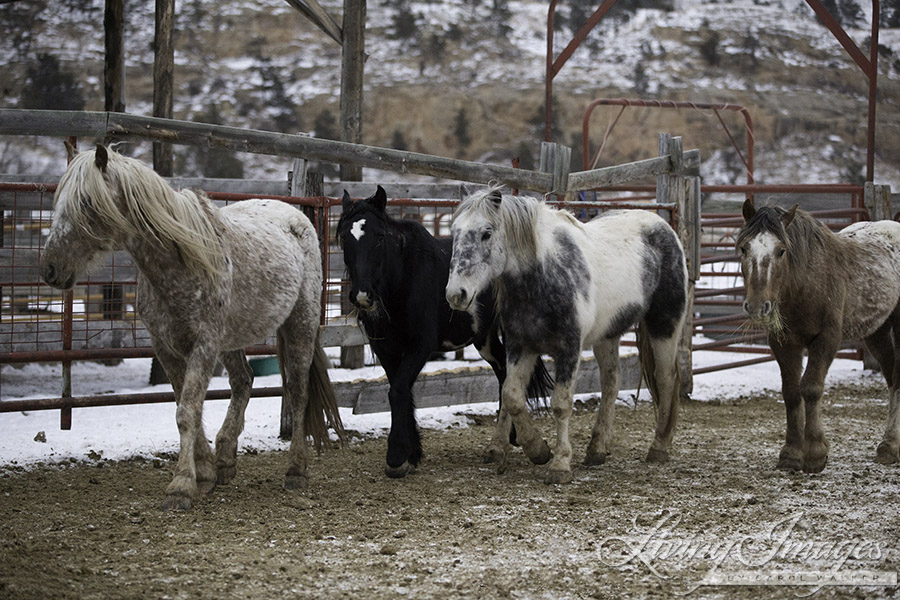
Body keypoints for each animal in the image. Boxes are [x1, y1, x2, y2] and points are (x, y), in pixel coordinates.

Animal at [38, 143, 342, 508]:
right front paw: (206, 471)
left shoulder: (204, 345)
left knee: (297, 392)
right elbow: (185, 408)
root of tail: (298, 218)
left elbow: (188, 411)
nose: (50, 269)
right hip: (233, 339)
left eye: (85, 202)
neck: (179, 262)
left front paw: (181, 485)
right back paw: (225, 458)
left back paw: (296, 470)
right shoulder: (166, 348)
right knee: (244, 381)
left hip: (300, 325)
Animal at [336, 188, 548, 478]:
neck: (404, 279)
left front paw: (397, 455)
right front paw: (412, 453)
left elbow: (398, 390)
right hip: (484, 338)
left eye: (379, 237)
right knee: (502, 371)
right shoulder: (386, 348)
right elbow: (400, 390)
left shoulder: (420, 346)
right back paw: (510, 438)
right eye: (344, 237)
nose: (361, 295)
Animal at [444, 190, 688, 486]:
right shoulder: (520, 346)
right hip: (607, 336)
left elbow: (560, 404)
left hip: (664, 326)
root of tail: (663, 226)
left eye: (486, 233)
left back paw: (659, 447)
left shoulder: (568, 349)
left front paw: (560, 464)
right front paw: (537, 449)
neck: (543, 277)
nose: (456, 294)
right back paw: (597, 449)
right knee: (611, 383)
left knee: (665, 380)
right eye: (455, 232)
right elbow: (512, 396)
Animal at [736, 202, 900, 474]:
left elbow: (811, 388)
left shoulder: (826, 339)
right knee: (891, 375)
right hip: (876, 331)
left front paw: (814, 453)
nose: (758, 307)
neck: (804, 283)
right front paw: (791, 454)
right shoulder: (783, 343)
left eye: (781, 251)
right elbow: (791, 393)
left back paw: (891, 445)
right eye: (743, 248)